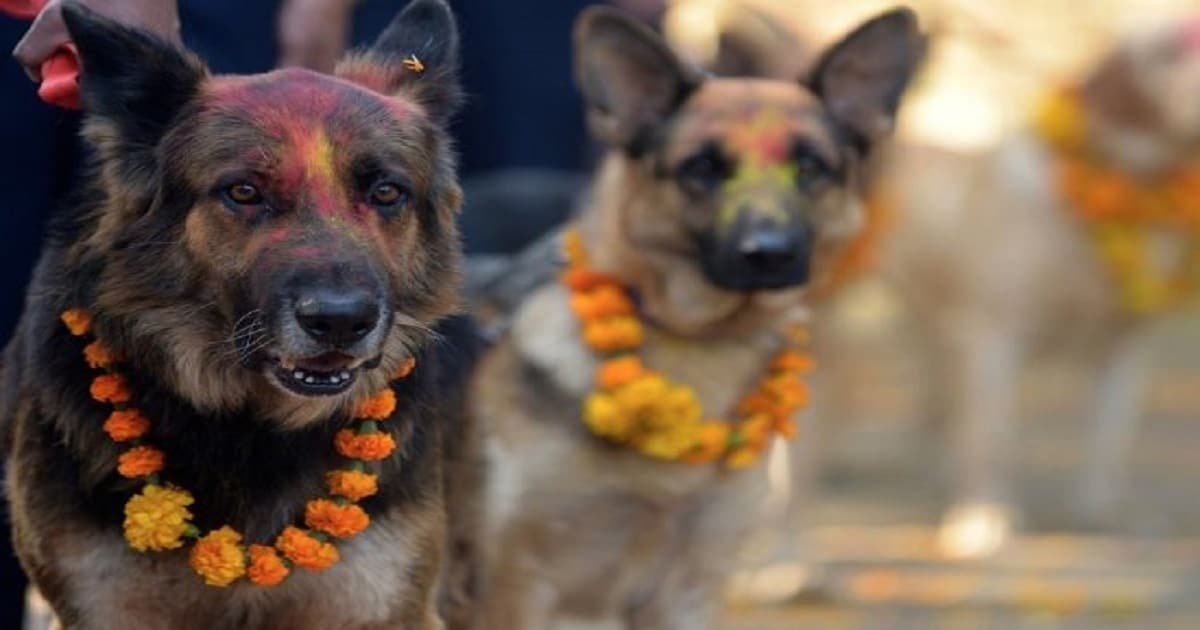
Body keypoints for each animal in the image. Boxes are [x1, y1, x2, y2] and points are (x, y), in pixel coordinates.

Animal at [472, 6, 921, 628]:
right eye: (703, 167)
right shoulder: (512, 585)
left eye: (809, 167)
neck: (698, 341)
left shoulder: (686, 589)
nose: (769, 253)